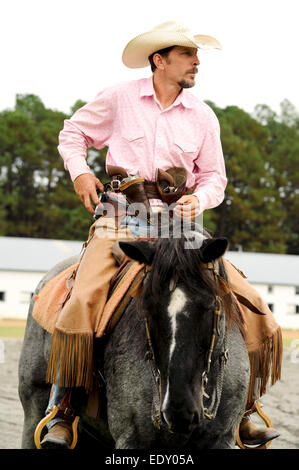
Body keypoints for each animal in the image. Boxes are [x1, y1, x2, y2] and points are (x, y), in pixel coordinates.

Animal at [17, 226, 251, 450]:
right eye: (147, 307)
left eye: (210, 305)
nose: (178, 408)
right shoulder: (132, 438)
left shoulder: (221, 438)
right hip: (33, 408)